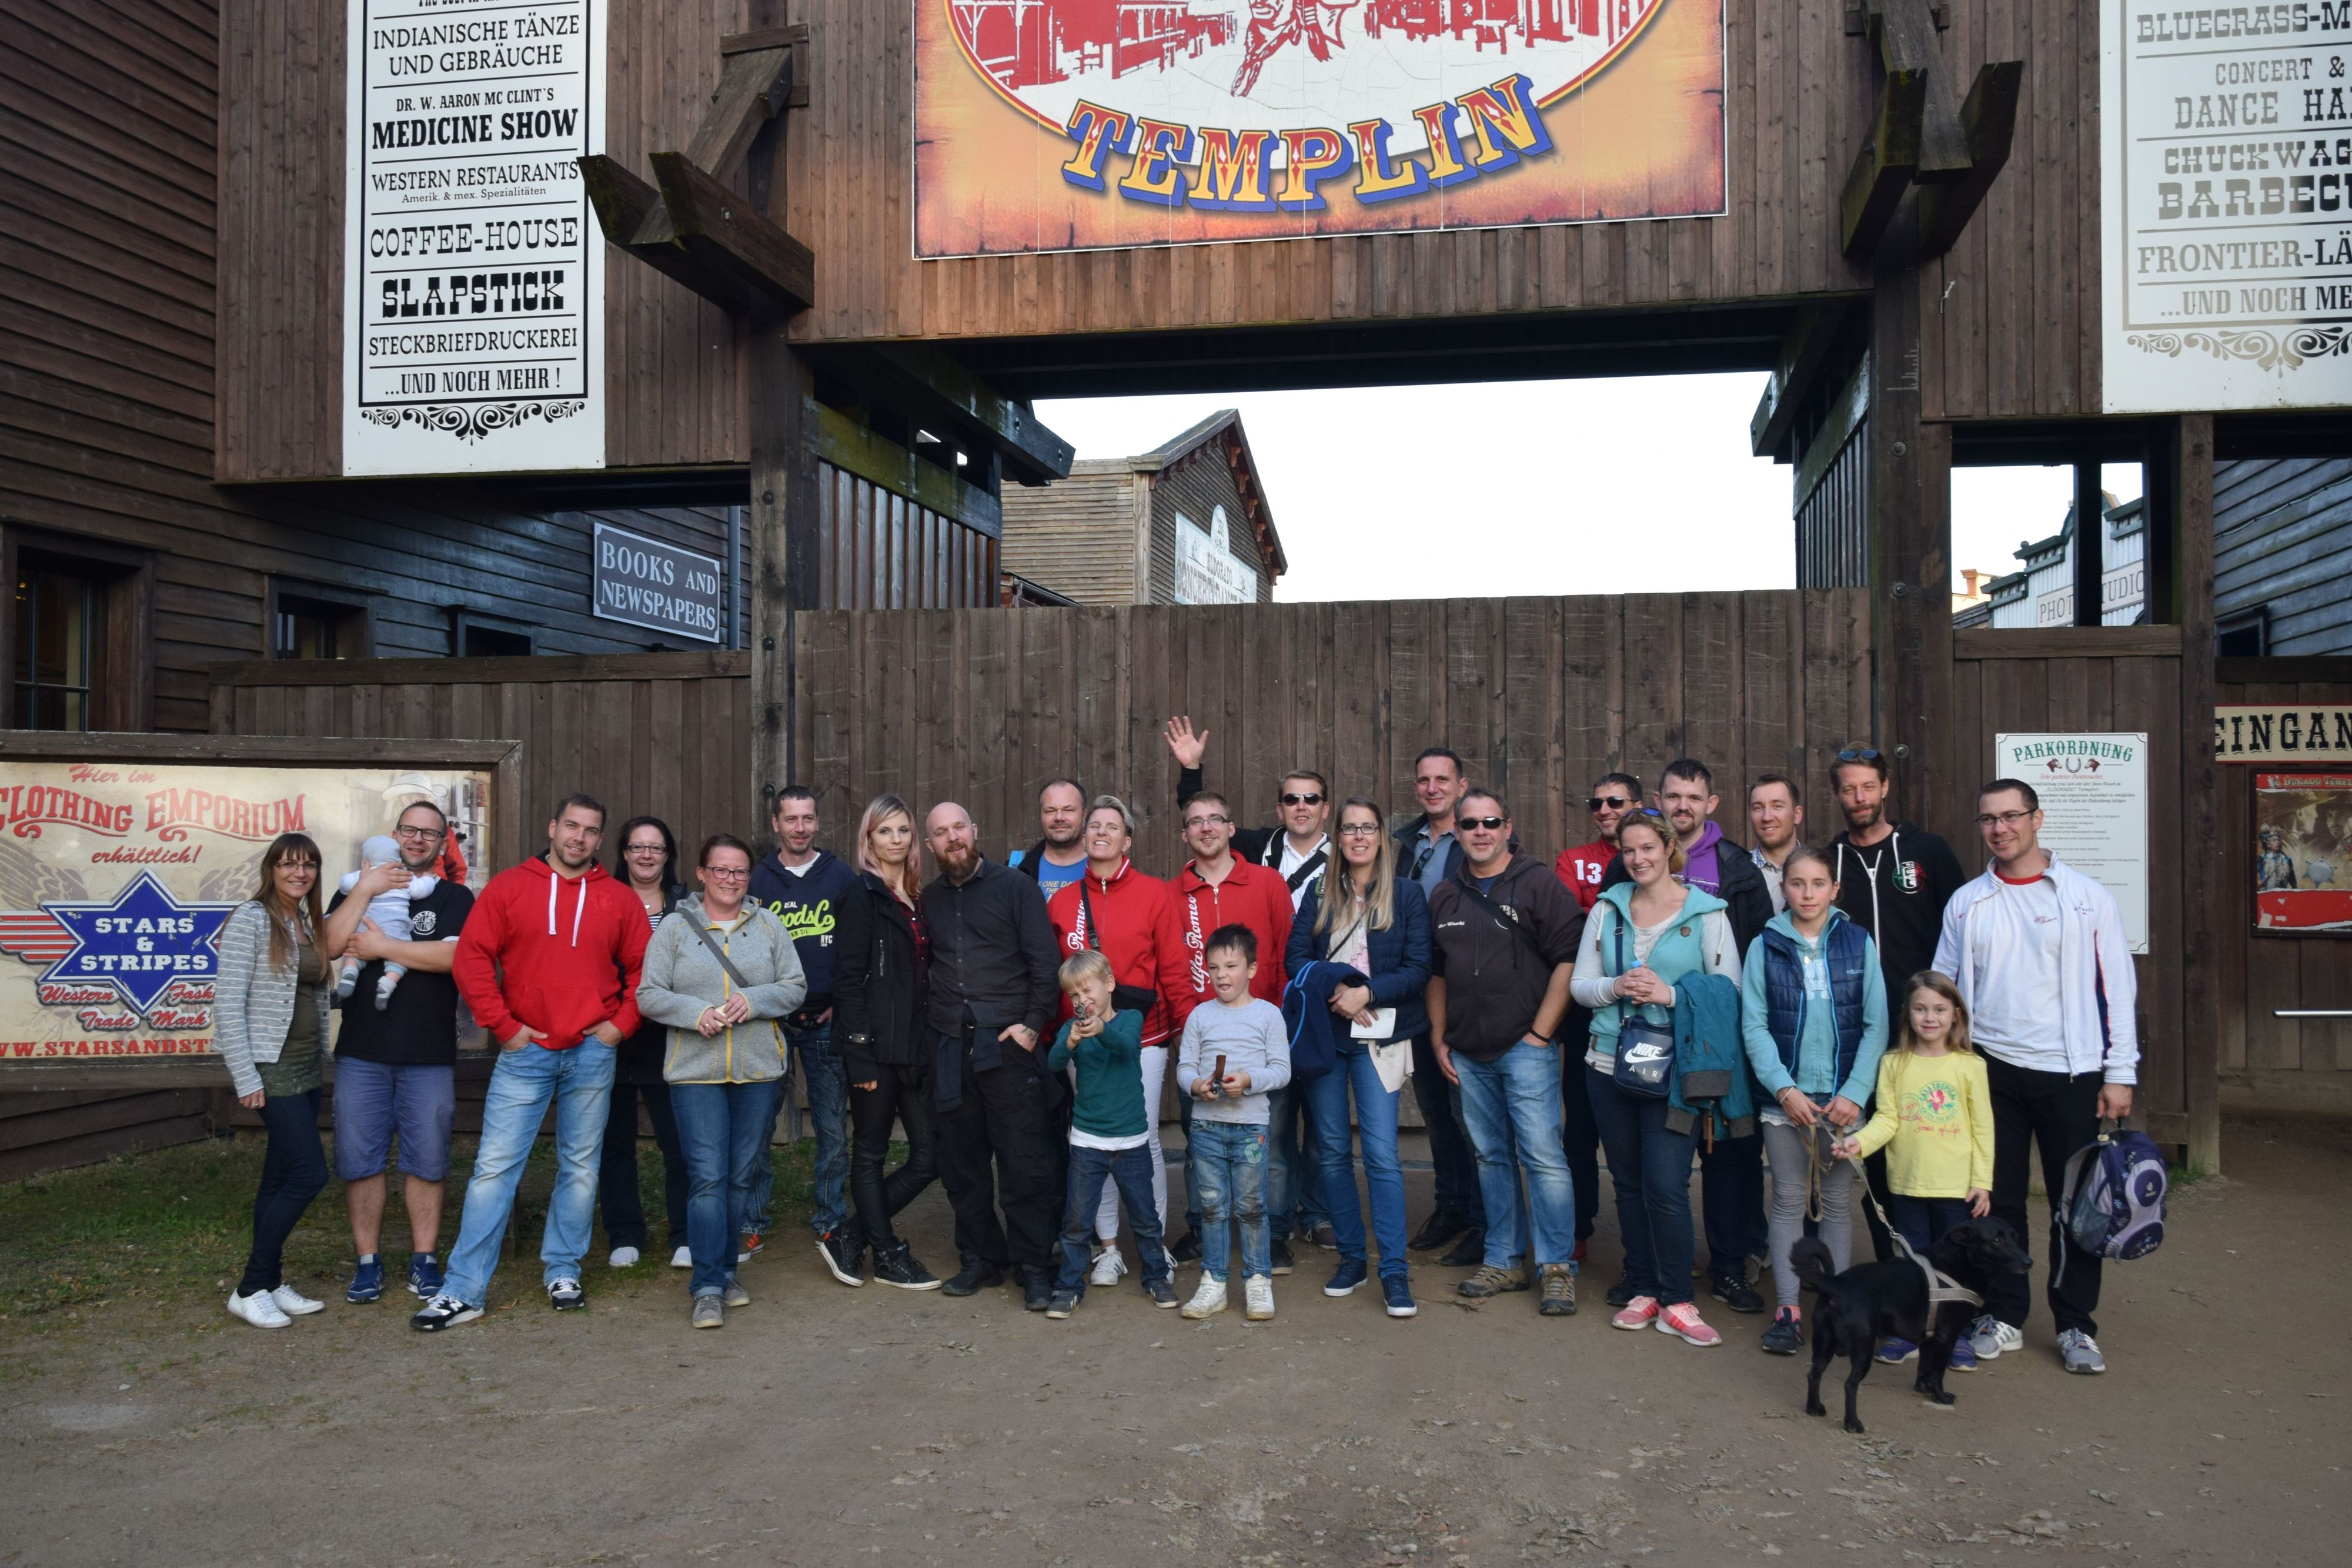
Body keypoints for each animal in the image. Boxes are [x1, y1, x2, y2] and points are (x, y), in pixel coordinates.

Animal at [1793, 1217, 2031, 1434]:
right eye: (1997, 1240)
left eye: (2015, 1237)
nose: (2029, 1262)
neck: (1956, 1265)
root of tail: (1836, 1283)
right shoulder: (1947, 1337)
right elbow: (1938, 1373)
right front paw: (1940, 1396)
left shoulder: (1928, 1339)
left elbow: (1924, 1367)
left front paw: (1923, 1388)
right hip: (1863, 1346)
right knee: (1850, 1385)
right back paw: (1853, 1424)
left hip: (1824, 1343)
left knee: (1814, 1375)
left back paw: (1814, 1408)